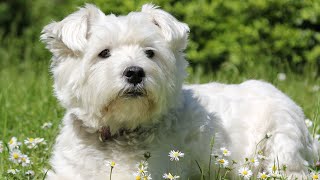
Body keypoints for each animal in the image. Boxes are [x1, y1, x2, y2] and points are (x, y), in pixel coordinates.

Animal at [41, 3, 318, 179]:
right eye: (104, 53)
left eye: (150, 53)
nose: (135, 72)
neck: (115, 135)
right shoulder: (66, 172)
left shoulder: (143, 172)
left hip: (281, 143)